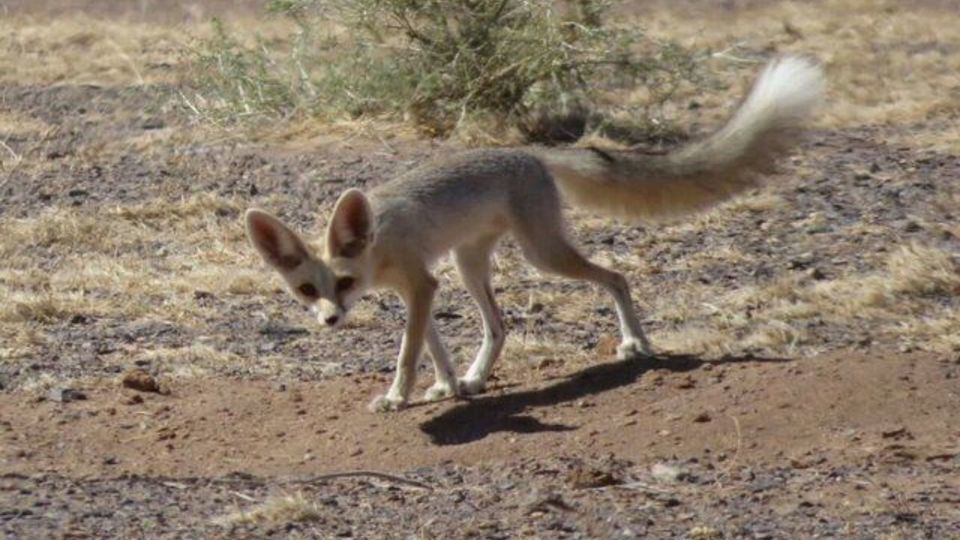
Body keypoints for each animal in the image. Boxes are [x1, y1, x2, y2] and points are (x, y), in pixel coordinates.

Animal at [244, 56, 820, 410]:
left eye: (342, 282)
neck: (378, 242)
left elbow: (409, 352)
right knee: (499, 326)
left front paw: (397, 397)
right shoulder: (422, 288)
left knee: (616, 277)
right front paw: (449, 385)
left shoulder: (421, 285)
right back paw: (476, 378)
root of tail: (529, 152)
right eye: (307, 290)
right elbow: (431, 345)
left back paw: (636, 343)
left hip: (543, 255)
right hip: (469, 264)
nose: (330, 320)